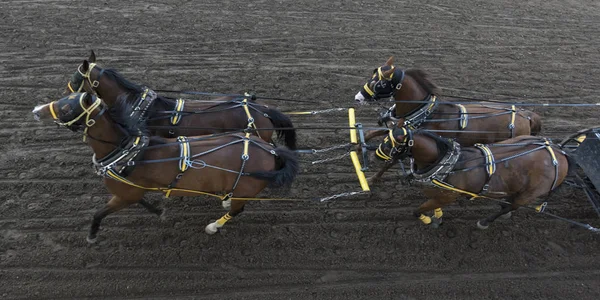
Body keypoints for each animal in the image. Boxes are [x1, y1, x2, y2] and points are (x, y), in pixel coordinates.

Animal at [31, 92, 298, 243]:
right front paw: (160, 212)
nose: (35, 110)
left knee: (238, 210)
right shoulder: (133, 191)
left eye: (67, 107)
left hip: (247, 188)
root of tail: (272, 151)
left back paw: (213, 226)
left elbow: (99, 213)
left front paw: (92, 236)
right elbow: (144, 202)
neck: (129, 152)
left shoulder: (125, 195)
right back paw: (224, 199)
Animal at [354, 57, 540, 182]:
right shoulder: (402, 130)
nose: (357, 98)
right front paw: (356, 146)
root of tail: (527, 116)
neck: (426, 113)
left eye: (379, 84)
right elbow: (373, 132)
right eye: (371, 77)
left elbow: (390, 161)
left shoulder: (408, 142)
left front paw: (372, 179)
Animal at [376, 123, 572, 229]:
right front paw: (437, 217)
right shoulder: (435, 192)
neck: (447, 164)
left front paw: (427, 219)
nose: (375, 155)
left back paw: (485, 221)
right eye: (385, 139)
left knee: (513, 205)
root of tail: (559, 153)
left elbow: (417, 211)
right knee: (509, 203)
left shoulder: (447, 196)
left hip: (531, 193)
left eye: (391, 143)